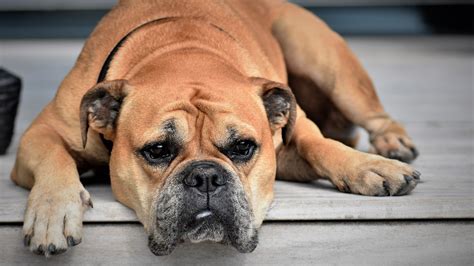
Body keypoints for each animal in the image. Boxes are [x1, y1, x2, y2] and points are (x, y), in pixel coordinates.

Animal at [10, 0, 418, 258]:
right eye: (158, 150)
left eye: (243, 148)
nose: (205, 176)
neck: (183, 50)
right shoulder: (40, 133)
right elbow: (54, 158)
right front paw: (52, 213)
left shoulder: (293, 134)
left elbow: (320, 144)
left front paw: (369, 167)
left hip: (326, 61)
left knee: (372, 115)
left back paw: (391, 144)